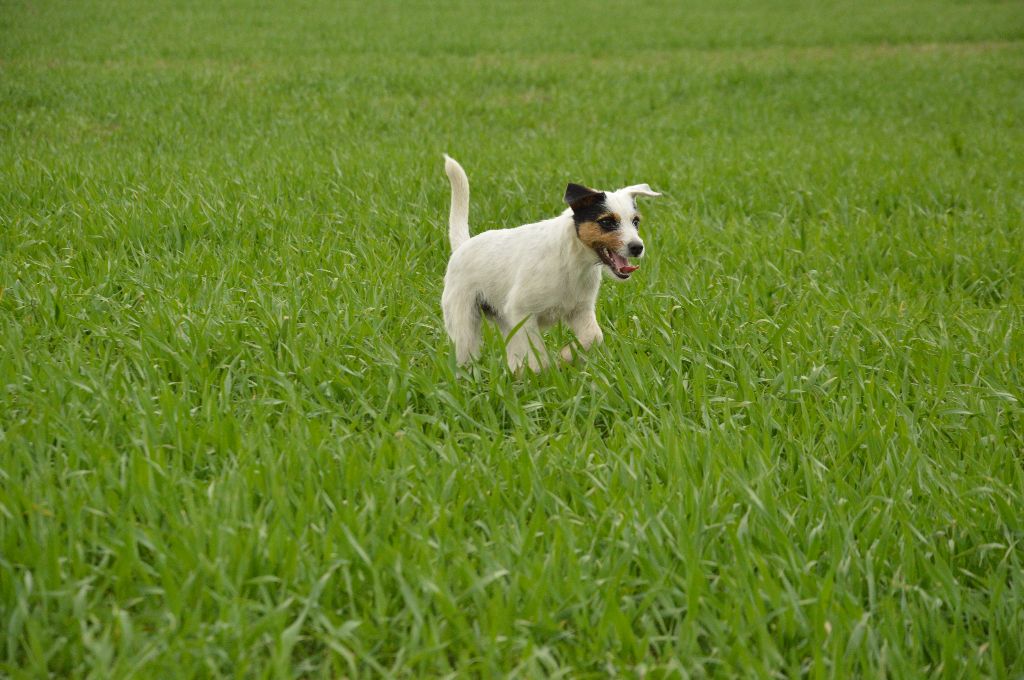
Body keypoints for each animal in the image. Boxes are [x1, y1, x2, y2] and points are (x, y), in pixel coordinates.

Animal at [438, 154, 659, 372]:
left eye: (636, 222)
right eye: (606, 222)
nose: (637, 247)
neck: (573, 260)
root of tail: (463, 246)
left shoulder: (580, 310)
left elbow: (594, 336)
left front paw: (565, 356)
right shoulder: (522, 312)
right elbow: (537, 355)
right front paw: (546, 369)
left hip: (505, 322)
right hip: (464, 324)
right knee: (465, 353)